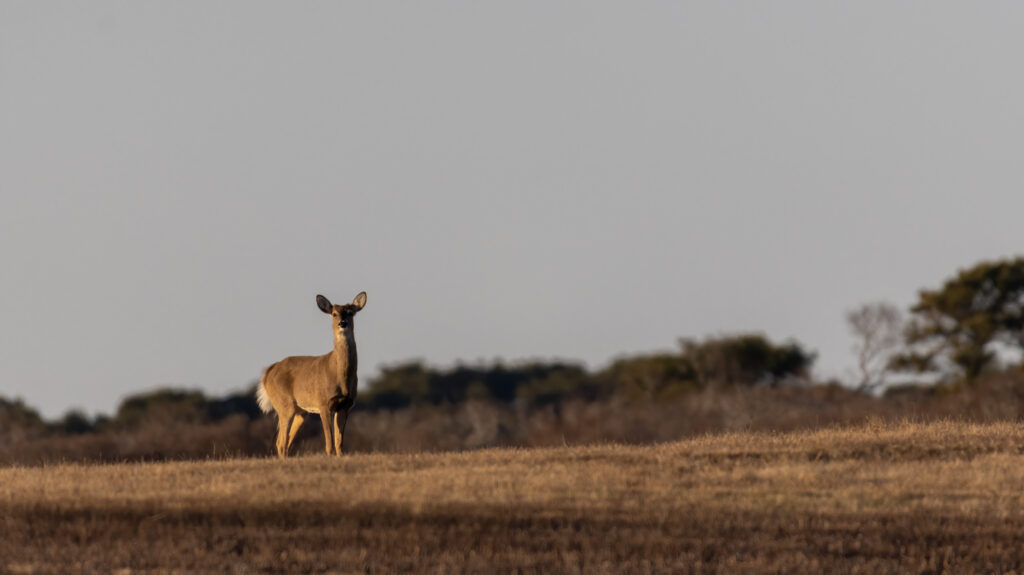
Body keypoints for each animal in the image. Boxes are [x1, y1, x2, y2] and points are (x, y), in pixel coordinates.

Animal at [256, 292, 367, 457]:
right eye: (334, 314)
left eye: (350, 312)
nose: (343, 323)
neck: (340, 375)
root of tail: (268, 373)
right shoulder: (323, 403)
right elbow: (329, 442)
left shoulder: (346, 405)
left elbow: (339, 442)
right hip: (284, 404)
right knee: (281, 442)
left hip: (301, 412)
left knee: (286, 441)